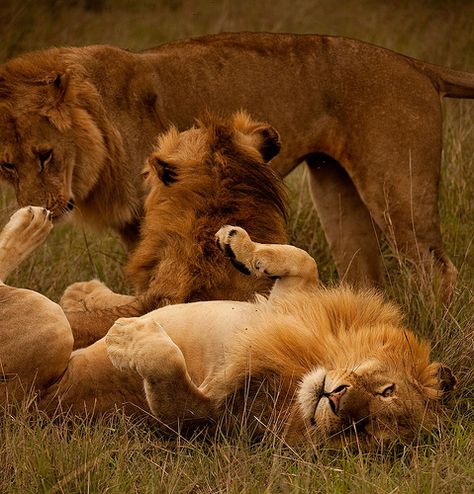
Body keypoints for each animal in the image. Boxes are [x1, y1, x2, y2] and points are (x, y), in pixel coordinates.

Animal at [0, 32, 472, 296]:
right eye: (5, 166)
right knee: (366, 274)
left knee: (438, 271)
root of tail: (414, 64)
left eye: (45, 154)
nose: (35, 210)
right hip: (336, 194)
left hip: (396, 190)